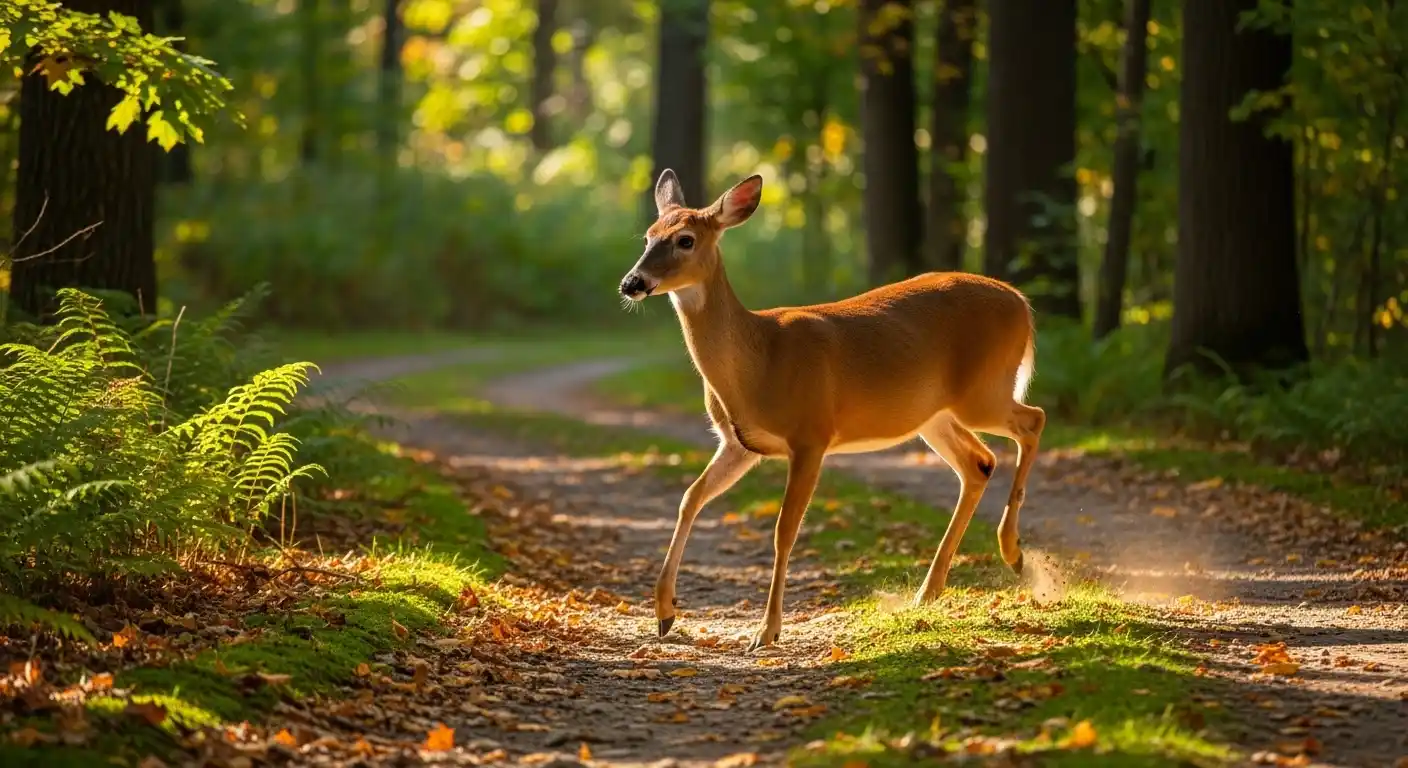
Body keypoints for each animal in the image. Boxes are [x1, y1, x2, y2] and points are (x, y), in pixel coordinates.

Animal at [618, 169, 1046, 651]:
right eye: (649, 236)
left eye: (686, 240)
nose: (632, 283)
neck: (758, 359)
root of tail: (1023, 304)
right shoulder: (739, 443)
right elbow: (689, 498)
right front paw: (664, 613)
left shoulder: (811, 435)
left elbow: (784, 530)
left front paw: (767, 631)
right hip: (933, 417)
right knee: (980, 462)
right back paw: (929, 591)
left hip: (983, 392)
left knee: (1034, 420)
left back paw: (1012, 551)